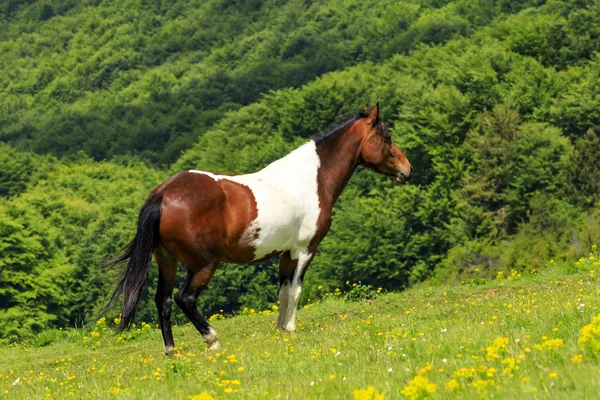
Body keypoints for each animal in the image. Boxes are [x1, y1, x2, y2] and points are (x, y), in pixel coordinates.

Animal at [105, 103, 410, 354]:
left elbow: (284, 291)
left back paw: (171, 350)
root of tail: (164, 194)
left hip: (167, 261)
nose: (407, 169)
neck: (311, 179)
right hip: (203, 265)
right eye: (387, 137)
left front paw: (281, 330)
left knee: (164, 300)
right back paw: (212, 340)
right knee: (185, 298)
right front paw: (291, 329)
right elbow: (296, 290)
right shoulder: (305, 250)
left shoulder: (286, 254)